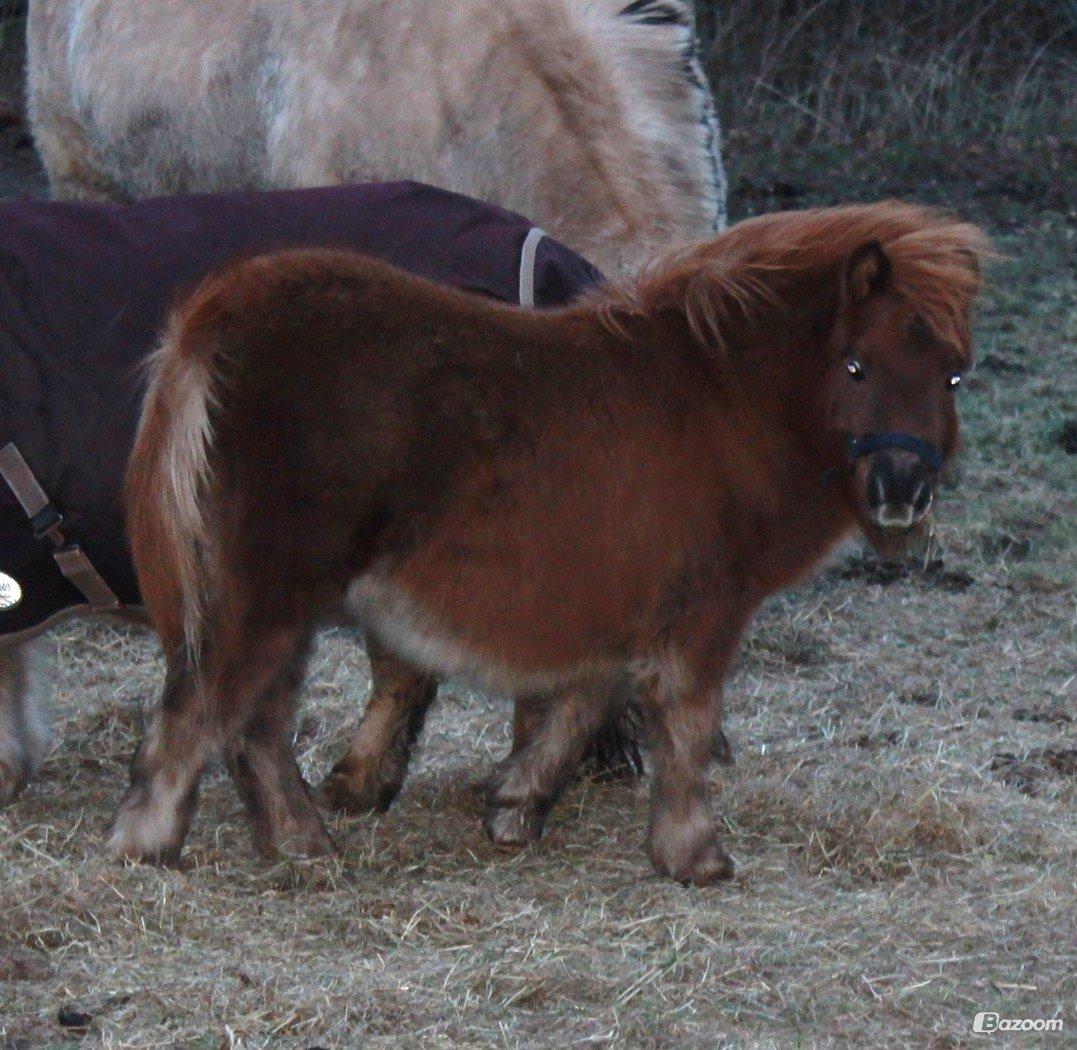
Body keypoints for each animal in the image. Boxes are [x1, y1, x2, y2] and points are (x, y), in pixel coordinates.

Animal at [115, 201, 986, 883]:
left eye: (951, 375)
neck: (723, 403)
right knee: (203, 713)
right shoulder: (705, 613)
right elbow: (685, 729)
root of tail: (218, 317)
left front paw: (515, 808)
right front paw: (694, 856)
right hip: (268, 598)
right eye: (855, 366)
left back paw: (300, 843)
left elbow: (579, 706)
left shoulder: (624, 606)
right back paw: (150, 845)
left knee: (253, 723)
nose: (902, 489)